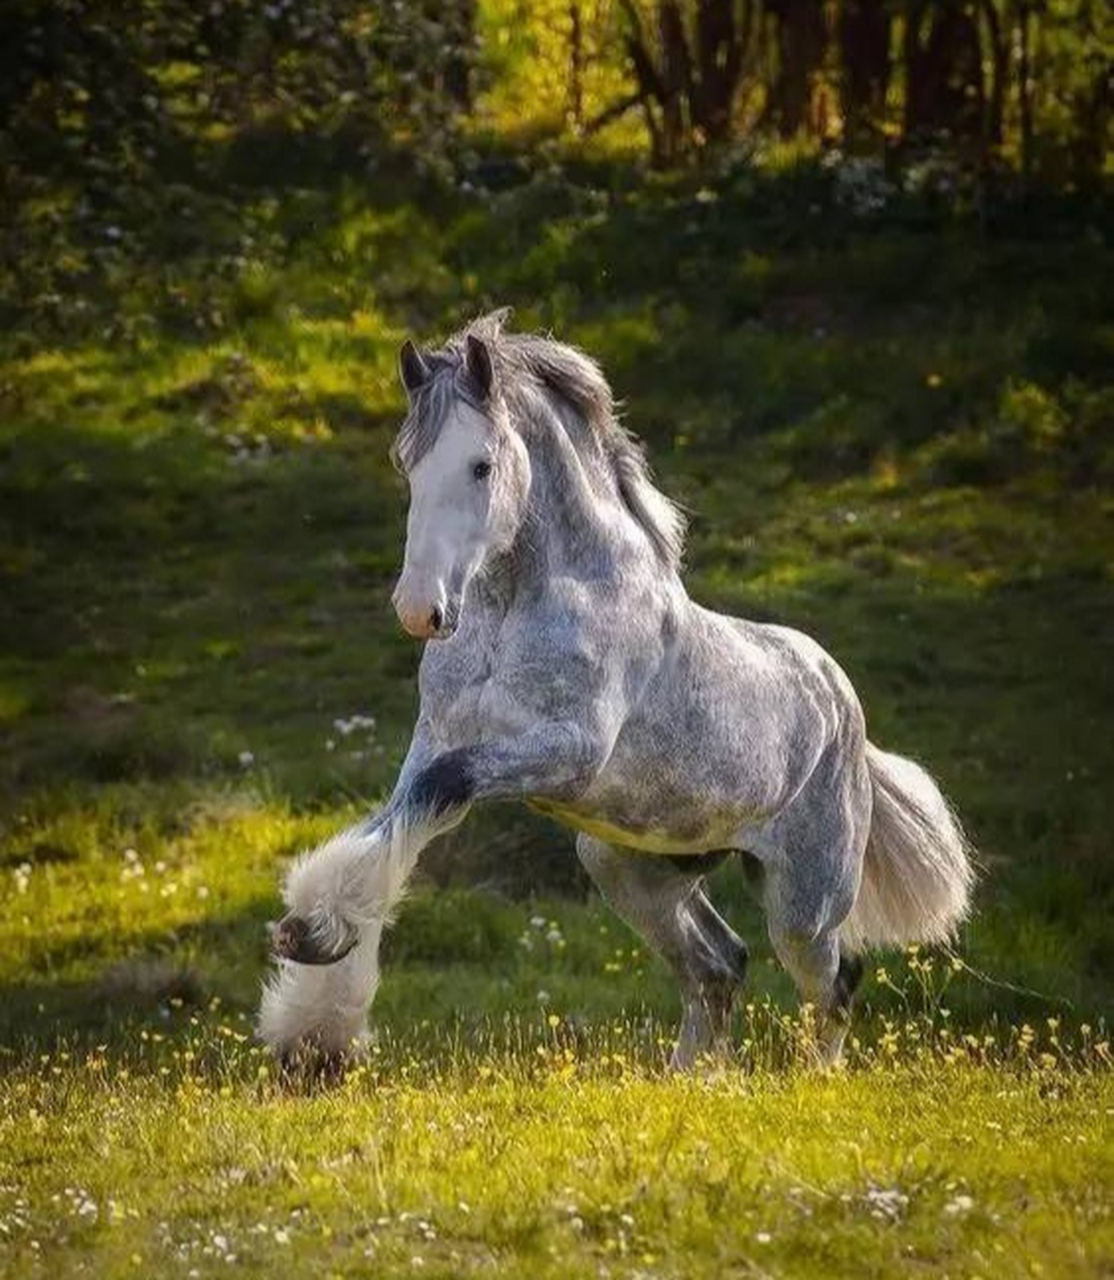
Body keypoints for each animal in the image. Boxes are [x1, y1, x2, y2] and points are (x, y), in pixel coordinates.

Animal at [259, 310, 974, 1070]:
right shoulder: (437, 739)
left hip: (805, 902)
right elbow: (400, 820)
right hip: (629, 867)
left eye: (481, 464)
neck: (522, 605)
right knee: (720, 965)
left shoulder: (569, 752)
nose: (420, 609)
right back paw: (689, 1081)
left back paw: (812, 1084)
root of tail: (845, 711)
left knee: (833, 981)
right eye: (406, 464)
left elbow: (440, 793)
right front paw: (312, 992)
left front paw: (315, 956)